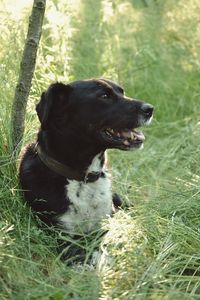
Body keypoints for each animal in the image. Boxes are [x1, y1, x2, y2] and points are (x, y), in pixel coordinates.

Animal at [19, 78, 153, 262]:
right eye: (104, 96)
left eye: (122, 92)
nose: (150, 109)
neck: (83, 178)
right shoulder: (62, 235)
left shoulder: (106, 222)